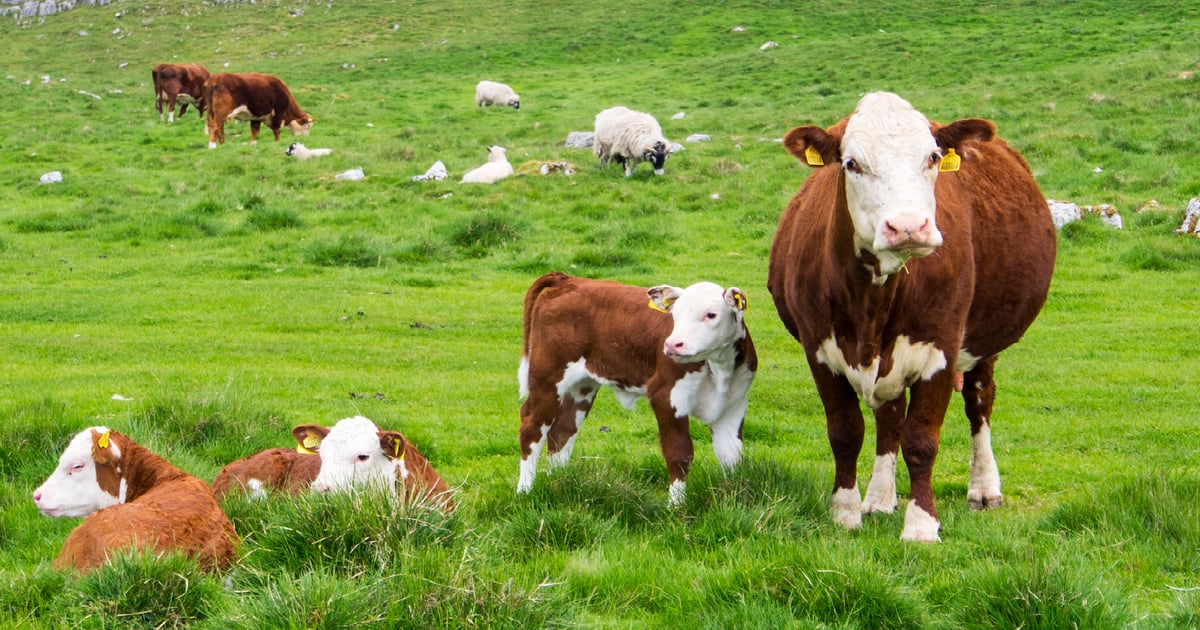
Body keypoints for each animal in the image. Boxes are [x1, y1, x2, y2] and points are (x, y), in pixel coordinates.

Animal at [517, 272, 757, 506]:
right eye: (675, 315)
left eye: (711, 314)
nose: (672, 345)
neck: (719, 368)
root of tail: (570, 280)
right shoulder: (668, 395)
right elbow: (679, 452)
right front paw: (676, 508)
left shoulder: (733, 404)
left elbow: (732, 454)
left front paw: (733, 496)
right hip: (547, 378)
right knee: (532, 429)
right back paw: (525, 491)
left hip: (581, 386)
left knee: (562, 431)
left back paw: (560, 481)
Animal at [767, 92, 1056, 541]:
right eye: (851, 163)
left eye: (933, 157)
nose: (907, 226)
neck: (871, 302)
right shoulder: (819, 351)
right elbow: (846, 432)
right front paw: (845, 513)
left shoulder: (940, 350)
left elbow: (921, 440)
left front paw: (921, 526)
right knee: (889, 418)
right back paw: (879, 499)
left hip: (984, 341)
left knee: (979, 402)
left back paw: (984, 488)